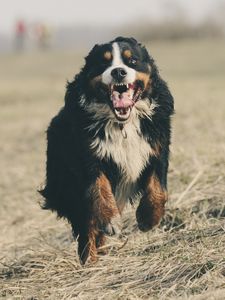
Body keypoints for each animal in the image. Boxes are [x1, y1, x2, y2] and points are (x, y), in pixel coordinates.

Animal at [39, 36, 175, 264]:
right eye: (103, 63)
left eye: (132, 61)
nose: (118, 72)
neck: (123, 124)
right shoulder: (88, 158)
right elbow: (99, 190)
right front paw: (111, 221)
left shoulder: (157, 148)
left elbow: (159, 188)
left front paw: (148, 218)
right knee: (87, 225)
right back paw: (90, 260)